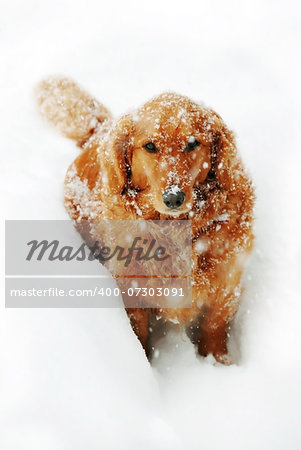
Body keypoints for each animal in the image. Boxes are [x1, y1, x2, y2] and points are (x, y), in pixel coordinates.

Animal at [36, 77, 254, 364]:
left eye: (193, 143)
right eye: (150, 146)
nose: (173, 197)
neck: (176, 234)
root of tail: (100, 128)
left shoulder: (228, 283)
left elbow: (214, 327)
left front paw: (219, 363)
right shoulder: (130, 289)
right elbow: (139, 334)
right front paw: (144, 366)